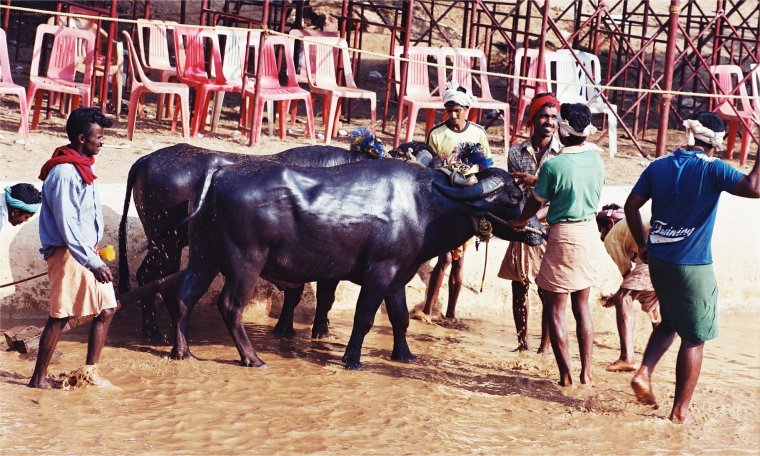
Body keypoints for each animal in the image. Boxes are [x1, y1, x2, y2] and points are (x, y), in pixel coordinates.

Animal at [169, 159, 544, 368]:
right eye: (514, 195)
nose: (539, 231)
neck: (425, 206)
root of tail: (219, 172)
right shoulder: (379, 274)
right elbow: (364, 319)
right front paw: (352, 360)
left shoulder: (398, 279)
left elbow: (400, 320)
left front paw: (405, 355)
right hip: (245, 261)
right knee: (230, 305)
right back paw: (252, 358)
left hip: (204, 255)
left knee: (184, 297)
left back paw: (181, 352)